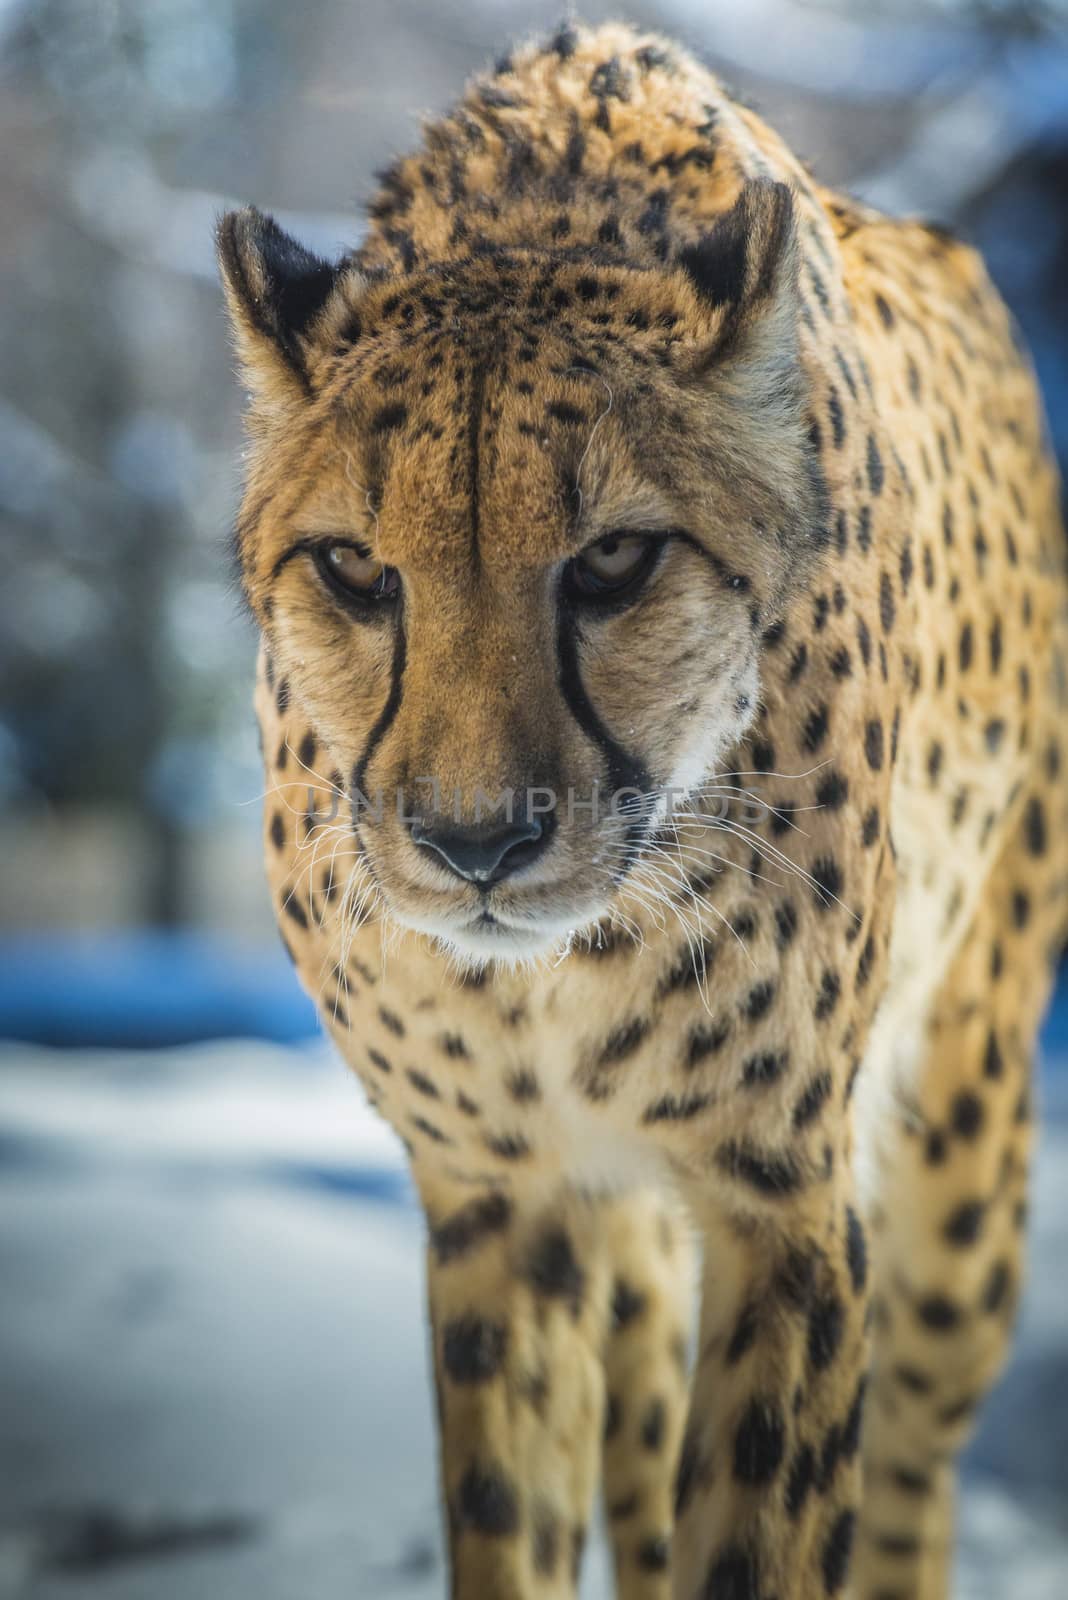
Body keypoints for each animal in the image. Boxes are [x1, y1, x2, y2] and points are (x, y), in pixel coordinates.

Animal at [217, 21, 1068, 1600]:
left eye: (616, 558)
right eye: (357, 568)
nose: (477, 843)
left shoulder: (785, 1203)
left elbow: (765, 1534)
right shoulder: (501, 1194)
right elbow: (518, 1519)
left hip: (960, 1161)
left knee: (910, 1474)